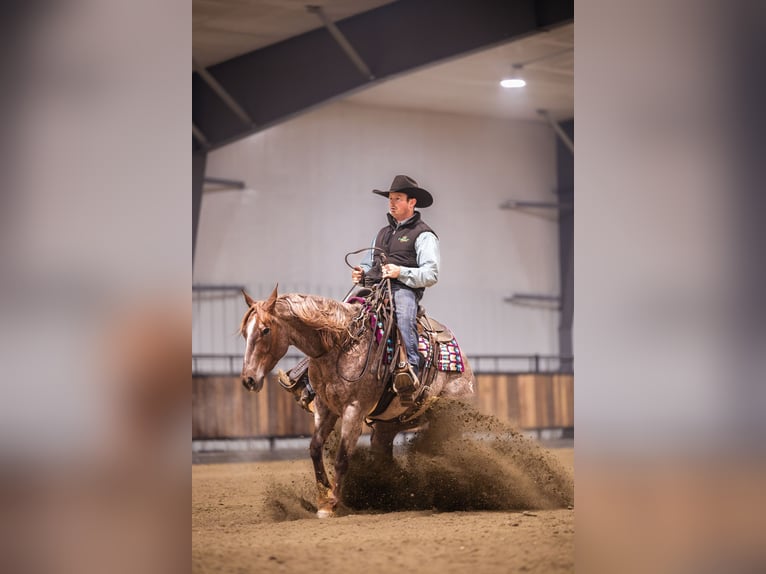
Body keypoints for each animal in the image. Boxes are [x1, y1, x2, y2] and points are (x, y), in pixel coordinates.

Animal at [239, 284, 475, 518]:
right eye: (244, 333)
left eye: (265, 330)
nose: (249, 379)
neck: (340, 345)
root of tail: (466, 367)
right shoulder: (325, 408)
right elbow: (315, 448)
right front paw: (323, 497)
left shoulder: (354, 409)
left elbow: (342, 457)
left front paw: (332, 504)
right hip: (388, 426)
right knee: (383, 455)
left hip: (447, 419)